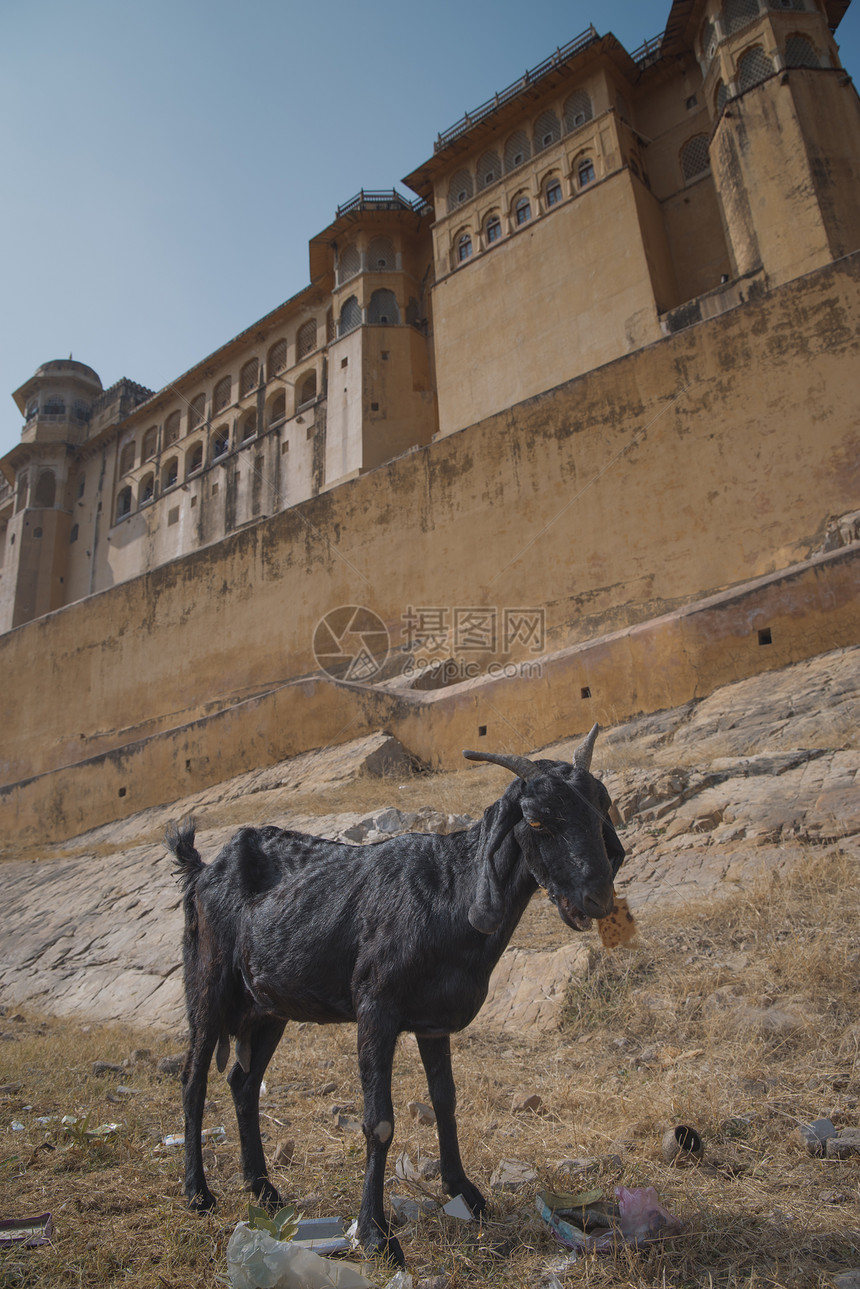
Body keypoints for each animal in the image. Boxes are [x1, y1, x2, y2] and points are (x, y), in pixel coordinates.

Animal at [166, 732, 626, 1263]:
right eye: (534, 819)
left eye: (601, 806)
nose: (597, 897)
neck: (450, 891)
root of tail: (203, 868)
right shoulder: (376, 1009)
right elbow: (378, 1123)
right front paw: (375, 1234)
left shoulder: (433, 1021)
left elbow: (445, 1100)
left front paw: (464, 1191)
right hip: (208, 984)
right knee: (193, 1078)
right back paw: (197, 1192)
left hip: (267, 1008)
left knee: (243, 1082)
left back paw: (264, 1189)